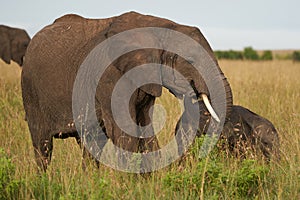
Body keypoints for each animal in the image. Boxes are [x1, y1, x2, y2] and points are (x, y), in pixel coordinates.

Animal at [22, 11, 232, 172]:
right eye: (190, 60)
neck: (157, 27)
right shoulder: (110, 76)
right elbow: (124, 132)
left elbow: (145, 127)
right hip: (30, 89)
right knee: (42, 145)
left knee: (90, 143)